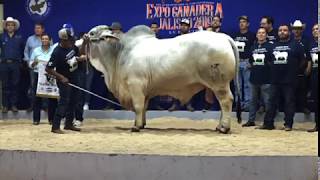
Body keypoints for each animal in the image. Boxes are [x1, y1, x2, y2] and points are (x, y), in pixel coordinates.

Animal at [85, 24, 240, 133]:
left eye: (92, 33)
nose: (83, 38)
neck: (120, 53)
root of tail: (223, 37)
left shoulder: (135, 85)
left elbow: (138, 106)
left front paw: (136, 127)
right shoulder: (145, 91)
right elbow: (144, 107)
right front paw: (142, 124)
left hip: (219, 84)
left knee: (226, 101)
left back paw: (224, 128)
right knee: (223, 105)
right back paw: (219, 126)